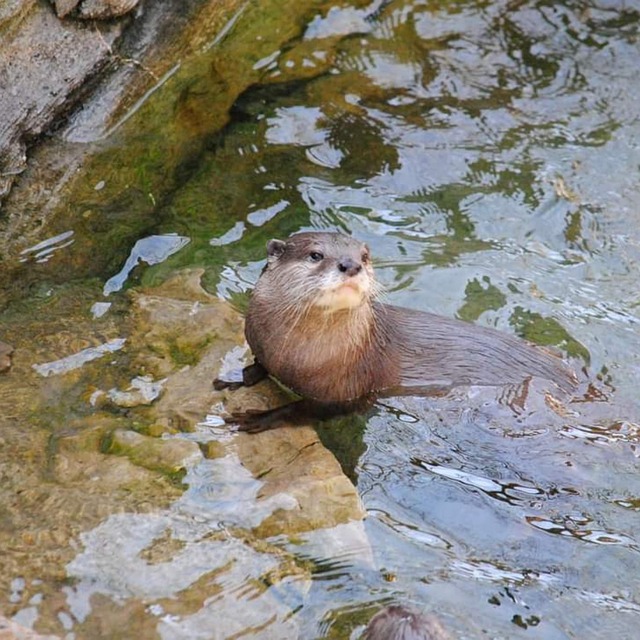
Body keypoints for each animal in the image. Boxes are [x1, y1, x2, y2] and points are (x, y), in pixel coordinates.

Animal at [240, 232, 575, 405]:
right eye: (315, 255)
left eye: (364, 257)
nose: (351, 265)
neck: (293, 355)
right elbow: (258, 364)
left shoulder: (349, 389)